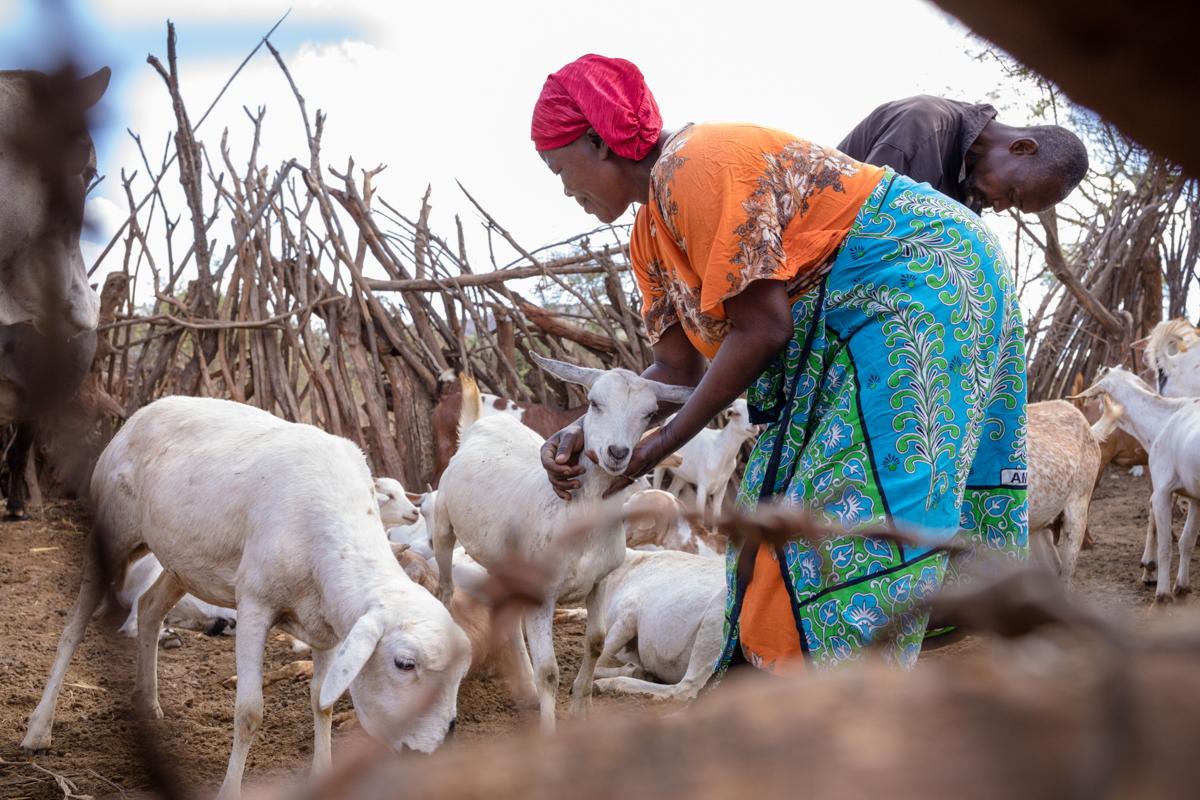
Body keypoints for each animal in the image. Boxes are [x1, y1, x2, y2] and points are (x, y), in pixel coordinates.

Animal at [22, 398, 468, 796]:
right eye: (405, 664)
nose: (436, 753)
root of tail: (140, 413)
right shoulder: (255, 605)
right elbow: (249, 712)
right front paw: (230, 789)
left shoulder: (327, 625)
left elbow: (321, 703)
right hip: (112, 532)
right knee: (73, 629)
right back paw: (39, 729)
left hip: (182, 561)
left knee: (148, 610)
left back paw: (148, 704)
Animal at [590, 546, 720, 705]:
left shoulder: (626, 618)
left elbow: (594, 664)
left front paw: (634, 672)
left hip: (712, 624)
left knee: (686, 688)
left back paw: (607, 684)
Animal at [1075, 369, 1200, 599]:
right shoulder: (1189, 494)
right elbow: (1183, 539)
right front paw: (1172, 582)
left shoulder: (1166, 488)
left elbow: (1170, 542)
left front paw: (1163, 590)